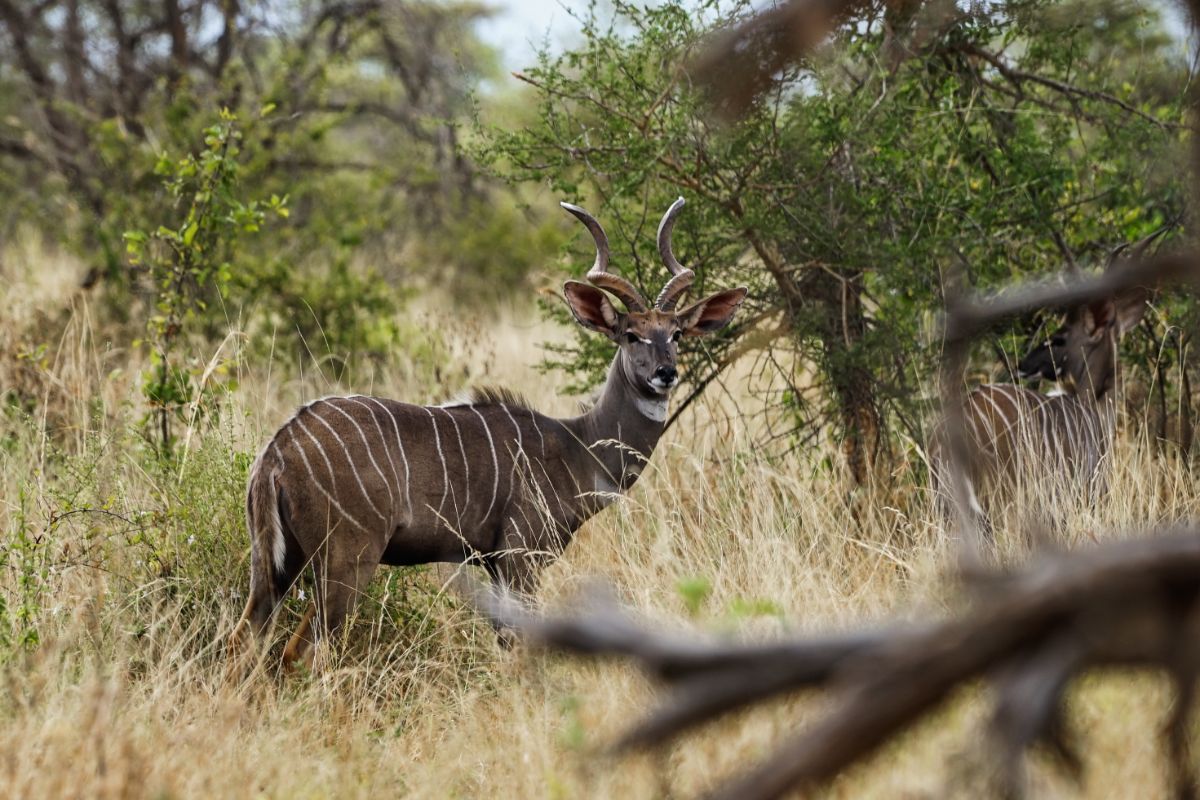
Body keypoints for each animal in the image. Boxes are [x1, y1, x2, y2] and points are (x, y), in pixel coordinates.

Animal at [230, 198, 747, 667]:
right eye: (631, 334)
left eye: (676, 334)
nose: (665, 374)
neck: (577, 448)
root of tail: (279, 449)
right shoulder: (521, 556)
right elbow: (521, 650)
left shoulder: (496, 565)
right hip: (347, 557)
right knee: (301, 650)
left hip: (276, 562)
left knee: (245, 637)